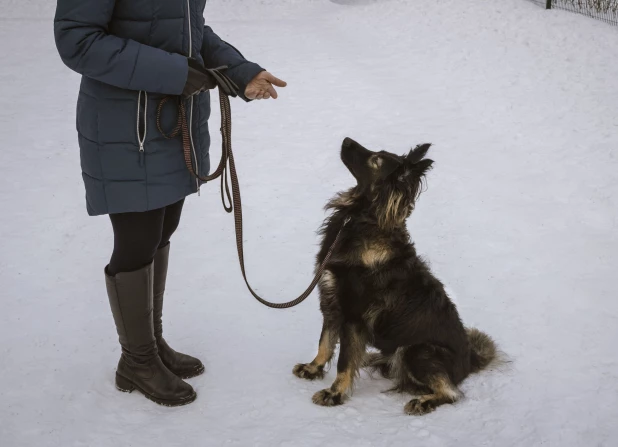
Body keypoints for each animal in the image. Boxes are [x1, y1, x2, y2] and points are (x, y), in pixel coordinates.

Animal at [292, 137, 498, 416]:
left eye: (376, 159)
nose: (346, 140)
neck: (361, 220)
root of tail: (469, 361)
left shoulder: (353, 316)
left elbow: (344, 361)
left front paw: (334, 394)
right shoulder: (332, 303)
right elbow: (325, 342)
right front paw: (313, 368)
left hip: (416, 350)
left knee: (451, 392)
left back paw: (424, 401)